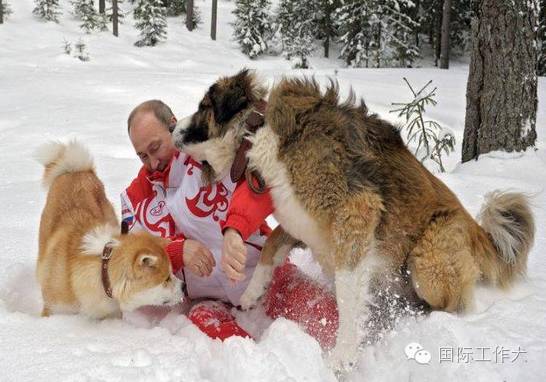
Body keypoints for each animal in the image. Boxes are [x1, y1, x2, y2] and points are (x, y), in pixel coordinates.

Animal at [35, 140, 183, 320]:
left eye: (171, 273)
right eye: (166, 279)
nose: (184, 286)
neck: (101, 274)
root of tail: (76, 171)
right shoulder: (54, 309)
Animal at [171, 69, 532, 370]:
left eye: (203, 106)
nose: (173, 126)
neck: (260, 132)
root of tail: (475, 229)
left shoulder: (355, 214)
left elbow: (347, 296)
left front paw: (342, 356)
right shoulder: (301, 220)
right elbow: (271, 244)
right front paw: (251, 292)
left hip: (427, 261)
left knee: (453, 303)